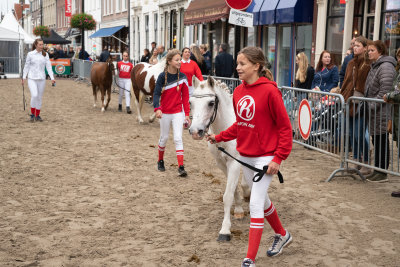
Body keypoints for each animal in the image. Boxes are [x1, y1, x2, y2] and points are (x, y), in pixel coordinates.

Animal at [188, 76, 250, 243]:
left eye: (211, 103)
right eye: (190, 102)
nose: (195, 131)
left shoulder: (234, 162)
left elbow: (227, 195)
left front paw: (225, 230)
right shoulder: (222, 163)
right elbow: (232, 189)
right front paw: (239, 209)